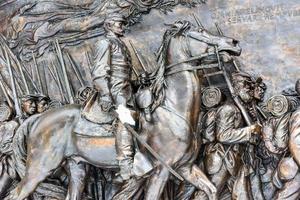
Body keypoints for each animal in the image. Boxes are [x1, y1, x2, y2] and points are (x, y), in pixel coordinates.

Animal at [7, 20, 241, 200]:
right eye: (201, 31)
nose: (234, 43)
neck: (173, 110)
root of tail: (37, 119)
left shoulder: (187, 167)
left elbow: (211, 190)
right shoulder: (160, 171)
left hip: (77, 167)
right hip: (39, 169)